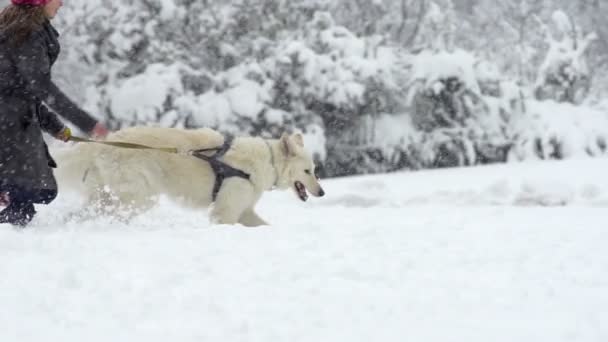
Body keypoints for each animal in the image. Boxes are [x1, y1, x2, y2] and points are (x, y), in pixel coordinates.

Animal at [54, 127, 326, 226]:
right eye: (307, 171)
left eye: (315, 170)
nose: (322, 192)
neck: (268, 161)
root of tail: (104, 143)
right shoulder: (226, 211)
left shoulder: (244, 210)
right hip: (140, 197)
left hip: (109, 195)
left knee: (84, 212)